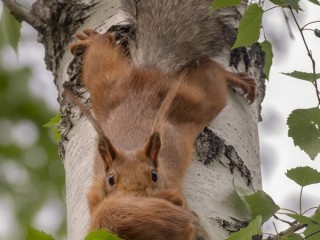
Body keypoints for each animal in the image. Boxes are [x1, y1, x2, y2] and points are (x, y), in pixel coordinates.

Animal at [69, 29, 256, 239]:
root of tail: (146, 78)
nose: (137, 198)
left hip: (195, 100)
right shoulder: (96, 199)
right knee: (99, 60)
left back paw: (237, 78)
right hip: (107, 85)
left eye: (154, 175)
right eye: (110, 179)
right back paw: (93, 40)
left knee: (211, 74)